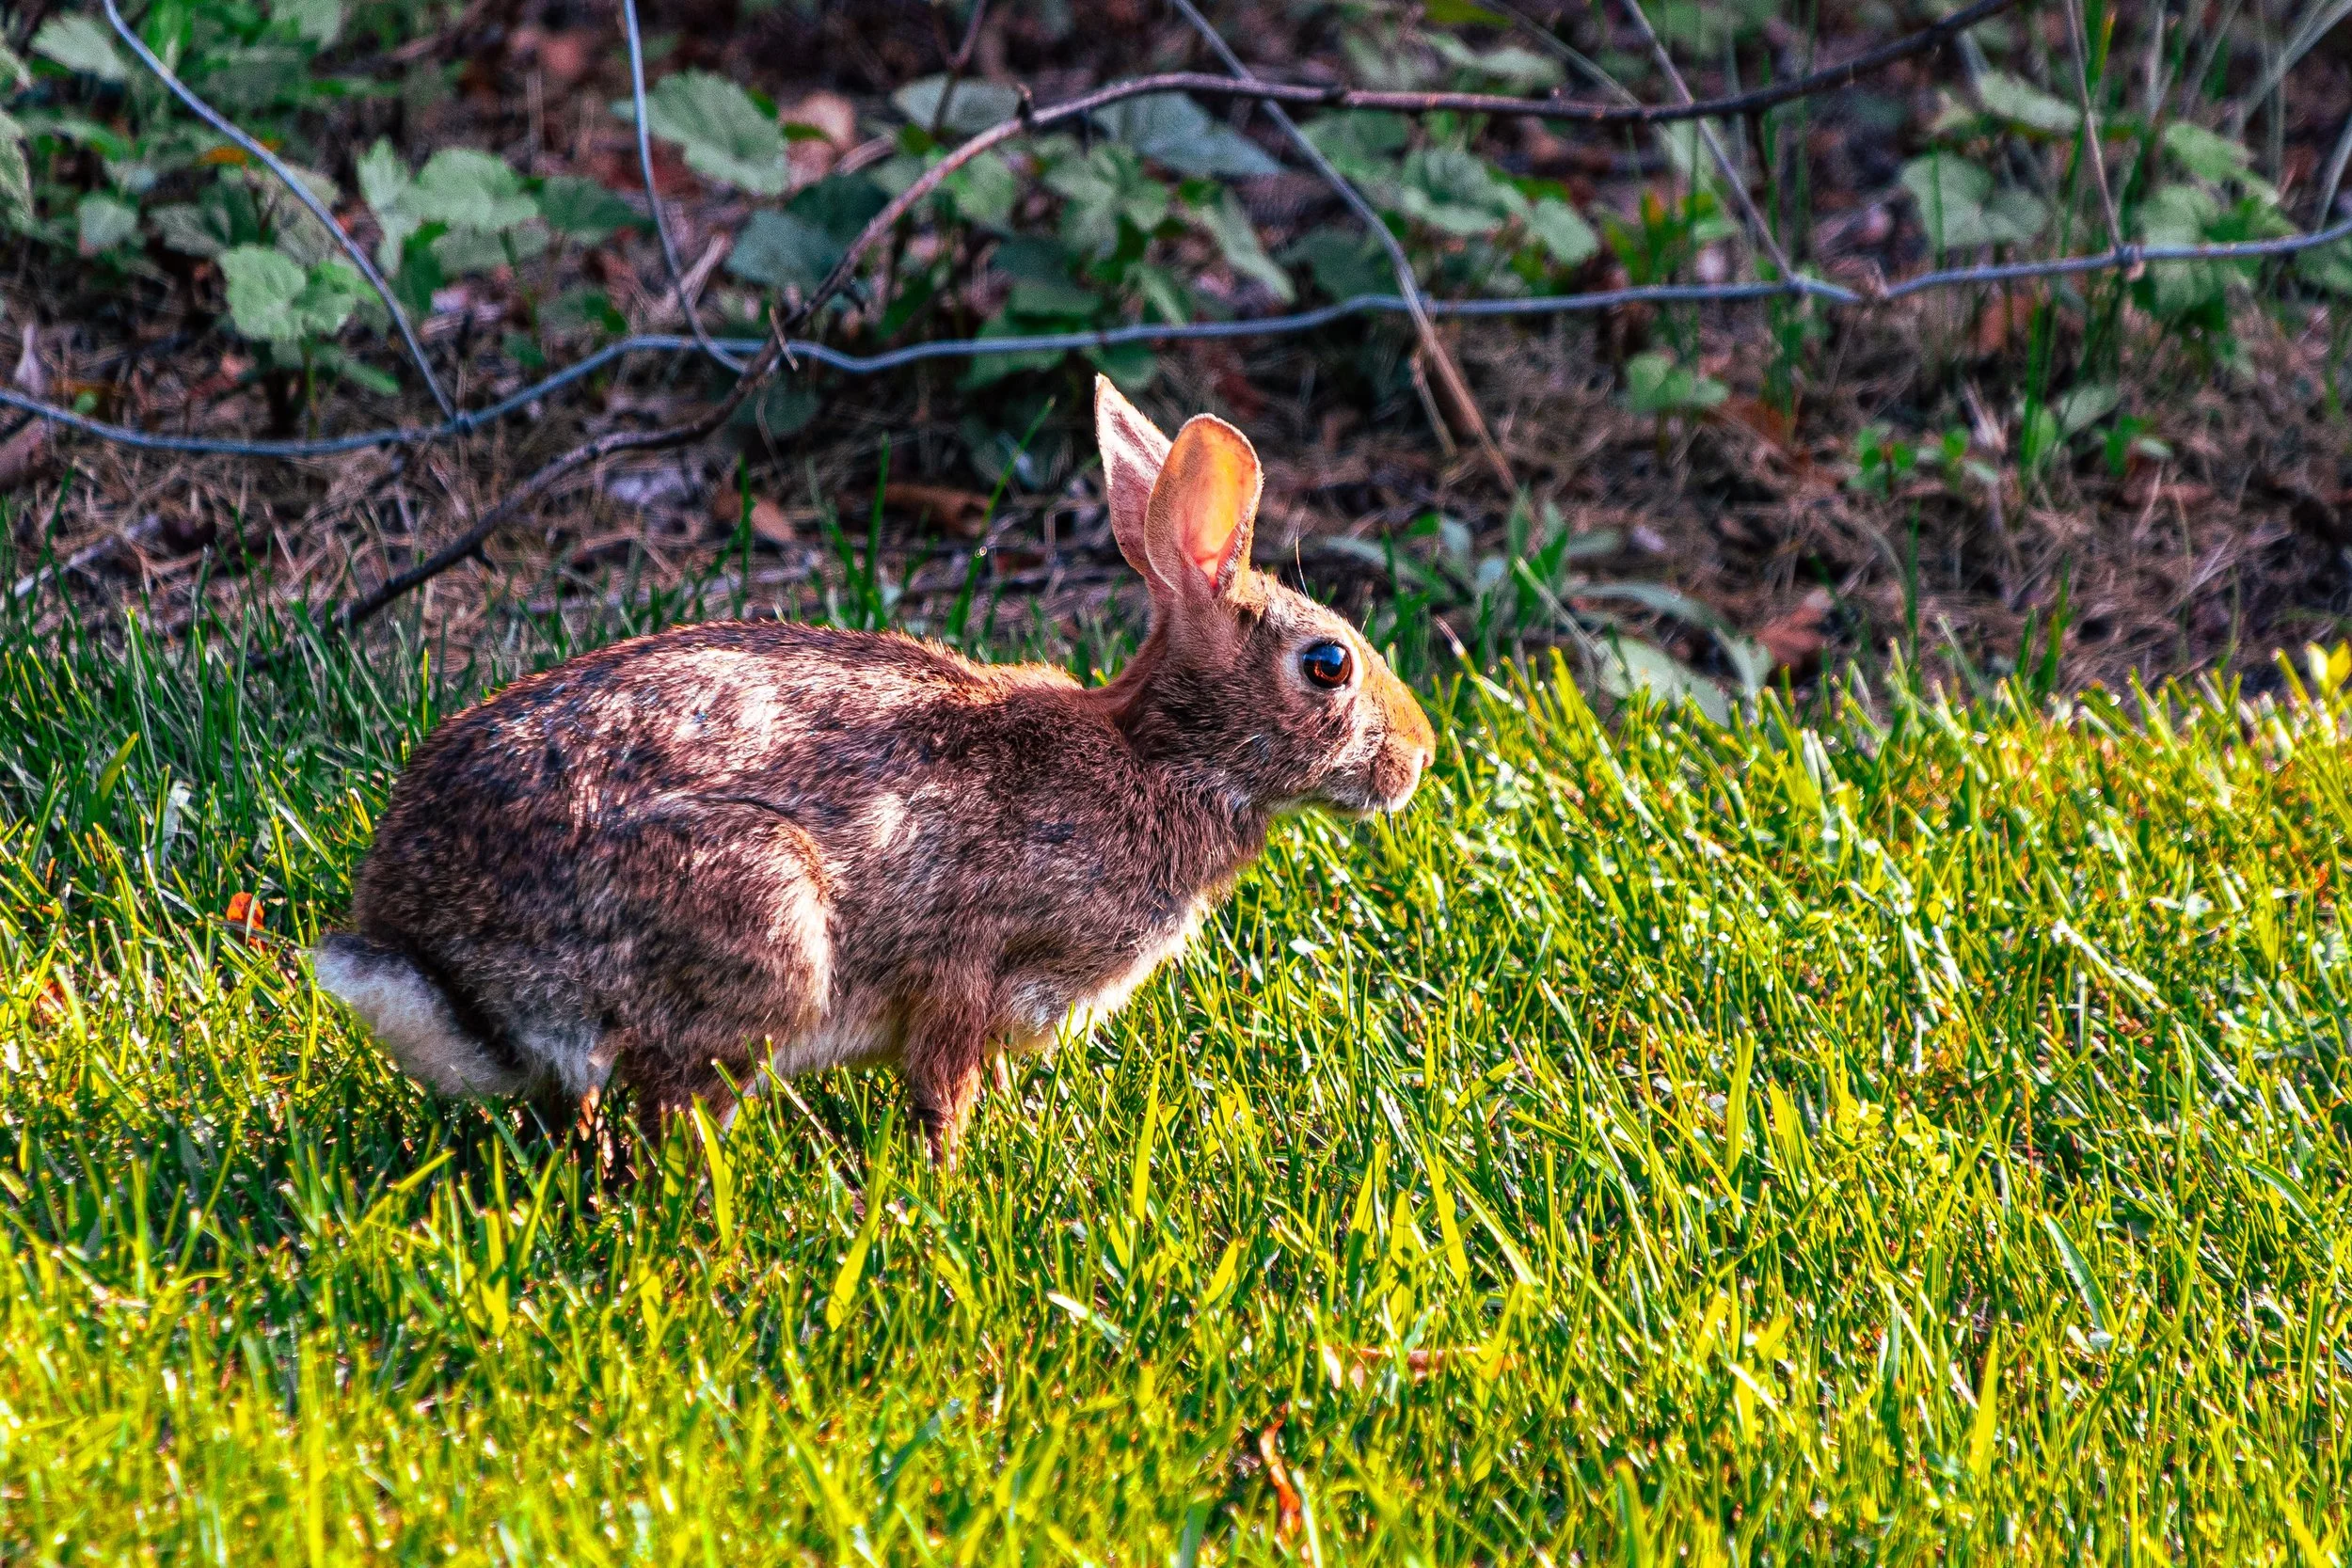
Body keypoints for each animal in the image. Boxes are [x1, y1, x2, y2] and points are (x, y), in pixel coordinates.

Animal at [312, 377, 1436, 1163]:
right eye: (1327, 664)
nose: (1418, 755)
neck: (1160, 754)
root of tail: (429, 954)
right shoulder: (968, 970)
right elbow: (941, 1092)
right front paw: (946, 1184)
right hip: (762, 916)